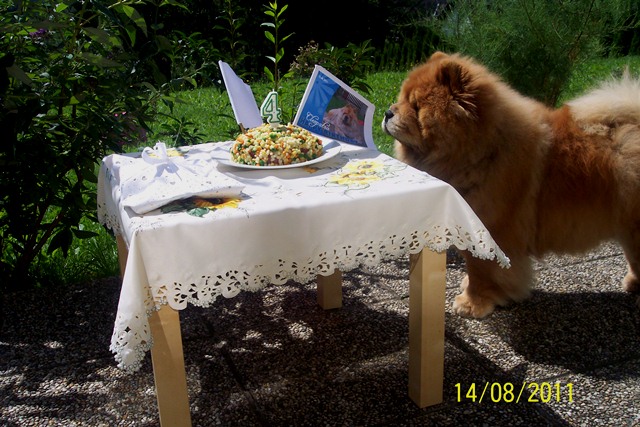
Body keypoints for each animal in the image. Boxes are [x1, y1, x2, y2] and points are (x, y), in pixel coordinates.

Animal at [382, 51, 640, 318]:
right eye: (401, 99)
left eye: (416, 106)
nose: (388, 112)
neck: (484, 152)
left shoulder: (490, 231)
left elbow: (481, 270)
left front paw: (472, 304)